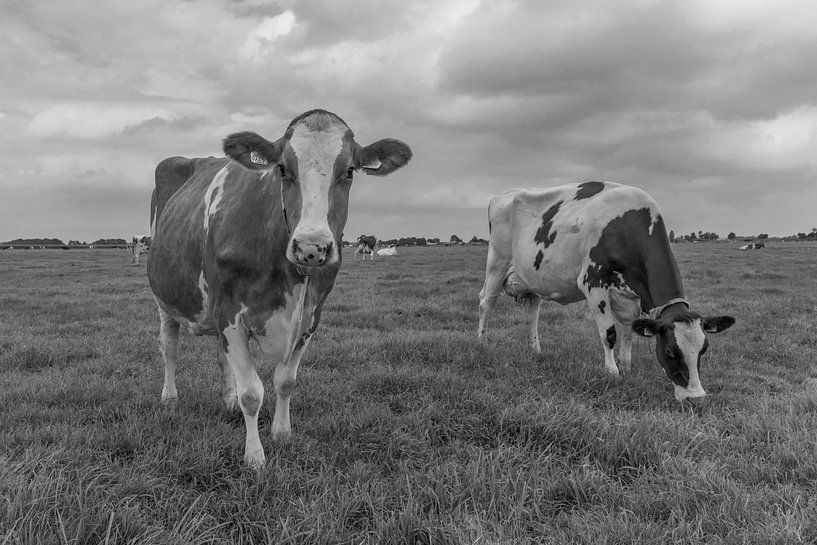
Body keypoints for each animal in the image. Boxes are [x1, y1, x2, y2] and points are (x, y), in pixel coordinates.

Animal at [147, 108, 412, 466]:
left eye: (350, 171)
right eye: (282, 168)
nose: (312, 247)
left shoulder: (310, 316)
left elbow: (286, 381)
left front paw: (282, 434)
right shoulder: (230, 313)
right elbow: (252, 392)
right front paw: (255, 457)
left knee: (221, 357)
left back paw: (227, 400)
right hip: (165, 300)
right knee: (169, 346)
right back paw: (170, 397)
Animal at [474, 183, 736, 404]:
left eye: (704, 349)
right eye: (670, 350)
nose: (696, 398)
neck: (627, 226)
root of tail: (504, 195)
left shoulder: (631, 296)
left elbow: (629, 331)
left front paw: (626, 364)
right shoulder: (592, 282)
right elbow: (609, 333)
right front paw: (612, 371)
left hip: (532, 278)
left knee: (531, 315)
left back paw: (536, 351)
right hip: (497, 262)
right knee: (486, 302)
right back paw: (482, 343)